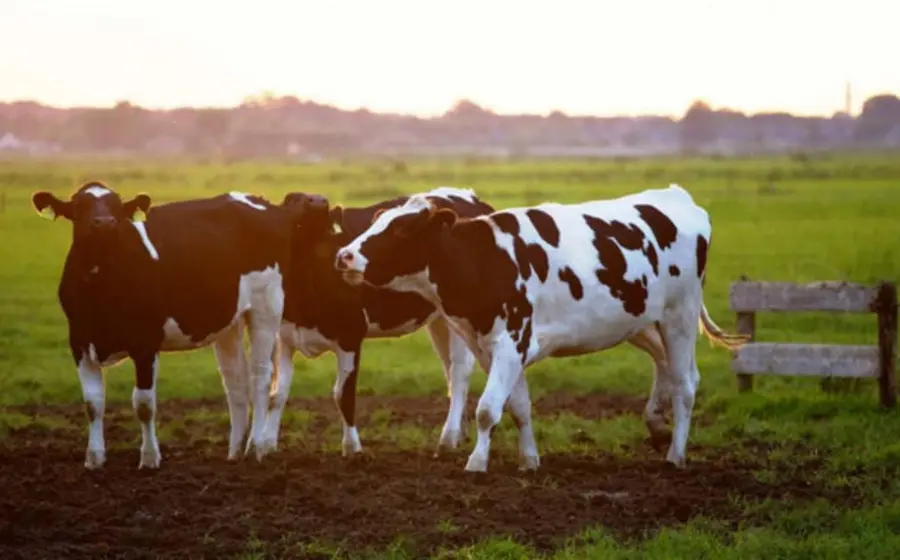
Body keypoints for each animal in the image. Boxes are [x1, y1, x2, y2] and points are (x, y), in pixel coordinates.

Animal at [31, 181, 324, 469]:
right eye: (79, 206)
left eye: (116, 206)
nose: (104, 223)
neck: (100, 286)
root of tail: (263, 203)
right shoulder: (79, 341)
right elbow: (92, 402)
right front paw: (94, 458)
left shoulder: (145, 342)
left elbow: (144, 403)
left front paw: (150, 458)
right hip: (229, 321)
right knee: (236, 381)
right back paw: (235, 451)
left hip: (266, 307)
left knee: (261, 376)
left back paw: (256, 447)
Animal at [261, 187, 495, 457]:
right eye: (291, 199)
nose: (318, 201)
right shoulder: (284, 338)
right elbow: (277, 394)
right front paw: (266, 445)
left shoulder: (350, 335)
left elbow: (343, 395)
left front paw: (352, 449)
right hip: (440, 320)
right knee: (449, 371)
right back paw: (460, 433)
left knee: (459, 373)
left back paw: (448, 438)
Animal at [334, 183, 749, 472]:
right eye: (377, 222)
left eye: (402, 231)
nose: (344, 255)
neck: (484, 259)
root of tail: (677, 197)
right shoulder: (495, 347)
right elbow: (517, 406)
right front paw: (529, 460)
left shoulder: (510, 342)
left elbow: (487, 409)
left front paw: (476, 463)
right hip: (642, 321)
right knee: (665, 365)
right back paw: (657, 426)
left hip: (680, 315)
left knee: (686, 384)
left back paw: (676, 454)